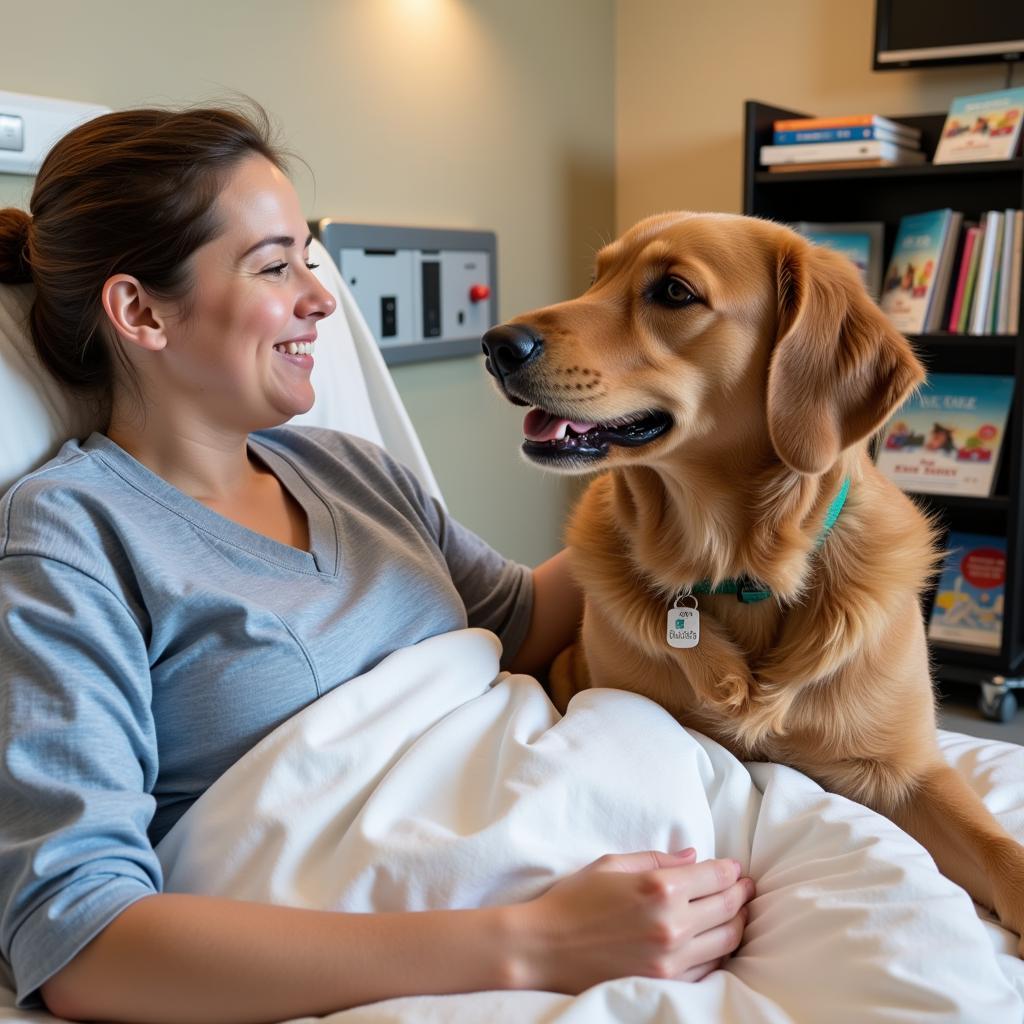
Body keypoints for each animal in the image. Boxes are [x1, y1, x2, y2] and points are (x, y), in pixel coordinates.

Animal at [485, 211, 1024, 954]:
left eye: (674, 291)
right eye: (597, 277)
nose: (496, 345)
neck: (739, 572)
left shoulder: (904, 772)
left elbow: (1001, 851)